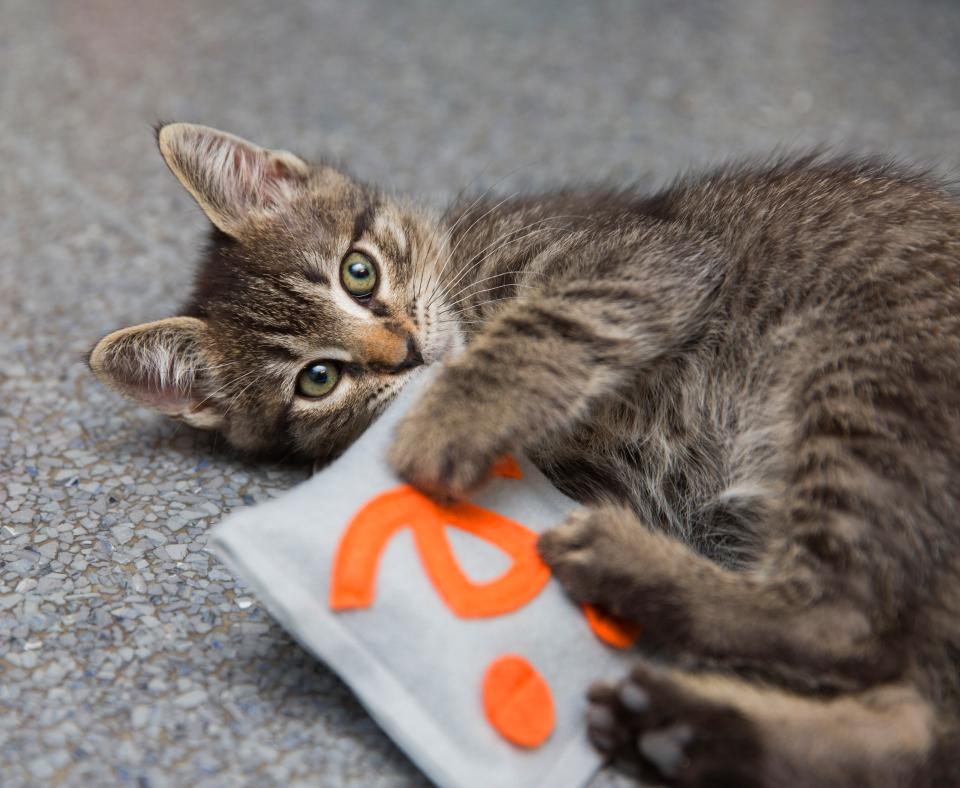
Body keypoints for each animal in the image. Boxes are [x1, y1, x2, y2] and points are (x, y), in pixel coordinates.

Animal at [92, 121, 960, 780]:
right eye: (317, 379)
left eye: (358, 271)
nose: (406, 351)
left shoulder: (645, 259)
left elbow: (549, 322)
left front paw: (448, 417)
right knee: (902, 711)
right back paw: (681, 727)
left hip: (863, 371)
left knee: (849, 616)